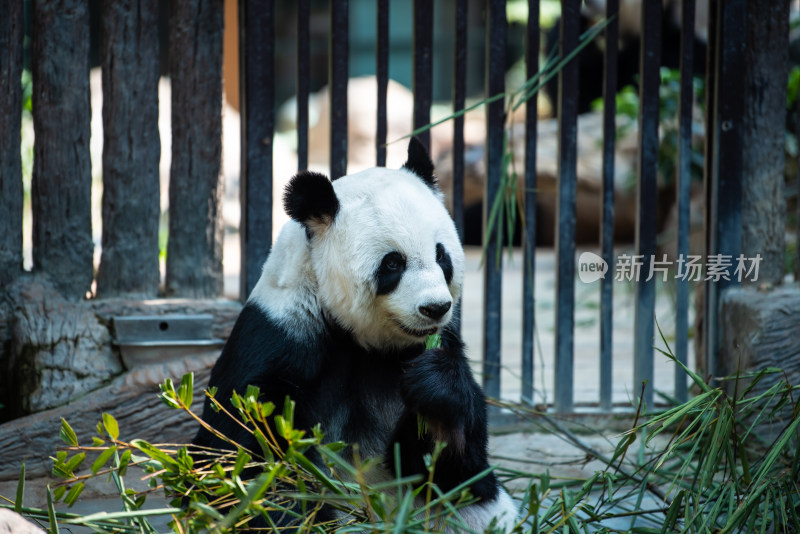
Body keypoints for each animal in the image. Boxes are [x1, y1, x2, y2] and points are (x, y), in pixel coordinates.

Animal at [194, 137, 520, 532]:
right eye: (393, 263)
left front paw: (436, 390)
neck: (365, 342)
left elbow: (454, 471)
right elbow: (241, 456)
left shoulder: (441, 344)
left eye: (442, 256)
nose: (436, 307)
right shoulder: (279, 336)